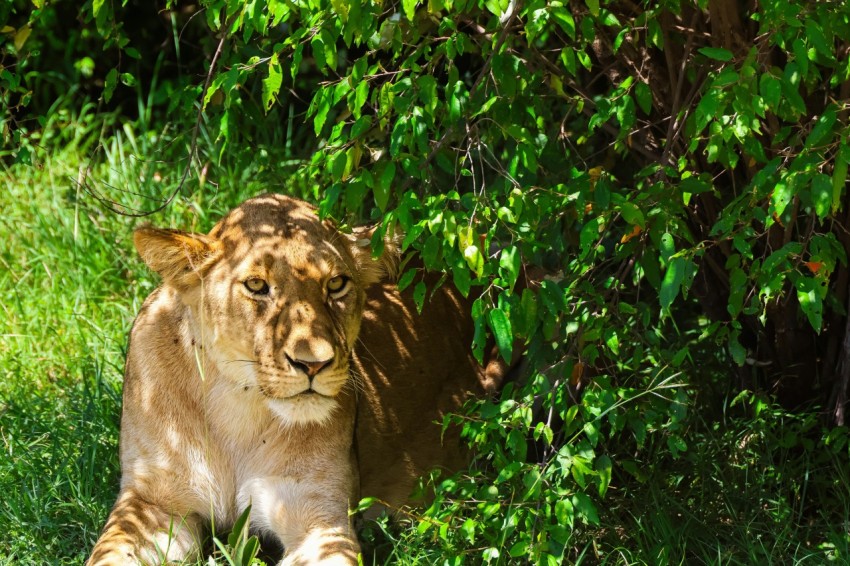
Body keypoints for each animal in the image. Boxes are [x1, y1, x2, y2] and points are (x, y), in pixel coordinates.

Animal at [87, 194, 508, 565]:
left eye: (336, 284)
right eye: (256, 286)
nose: (314, 364)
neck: (236, 408)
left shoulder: (319, 517)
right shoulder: (152, 503)